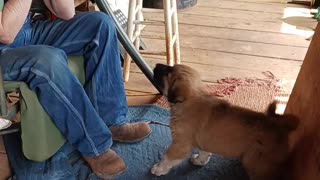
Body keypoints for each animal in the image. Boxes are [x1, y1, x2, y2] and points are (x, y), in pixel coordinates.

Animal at [151, 64, 298, 180]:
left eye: (168, 72)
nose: (157, 64)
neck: (189, 100)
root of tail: (280, 126)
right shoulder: (203, 140)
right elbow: (204, 151)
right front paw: (200, 160)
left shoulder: (180, 144)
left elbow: (167, 157)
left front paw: (158, 169)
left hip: (257, 163)